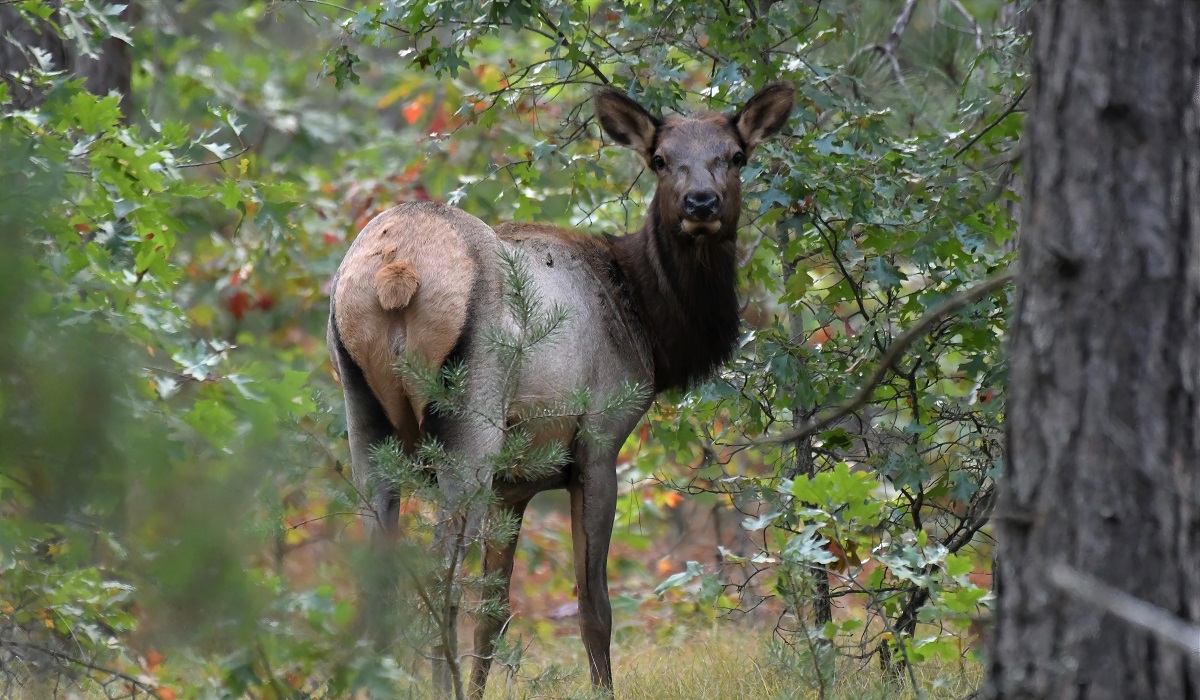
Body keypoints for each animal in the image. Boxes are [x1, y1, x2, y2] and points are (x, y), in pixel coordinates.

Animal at [328, 82, 796, 696]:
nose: (701, 203)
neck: (652, 327)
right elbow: (594, 605)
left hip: (364, 420)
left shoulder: (514, 485)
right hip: (470, 426)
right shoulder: (597, 442)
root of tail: (397, 269)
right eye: (660, 159)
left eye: (736, 155)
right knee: (438, 574)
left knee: (378, 579)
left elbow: (495, 612)